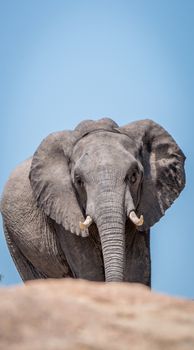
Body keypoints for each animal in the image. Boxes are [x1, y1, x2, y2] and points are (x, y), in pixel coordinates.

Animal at [0, 117, 185, 284]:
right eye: (79, 181)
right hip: (12, 236)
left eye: (133, 176)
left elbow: (138, 267)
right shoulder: (62, 210)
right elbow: (89, 270)